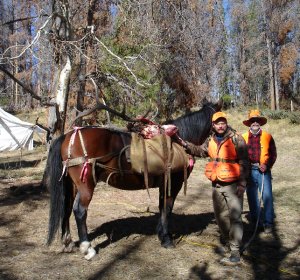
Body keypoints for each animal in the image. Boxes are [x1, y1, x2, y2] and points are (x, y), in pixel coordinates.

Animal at [45, 99, 223, 260]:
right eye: (220, 120)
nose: (227, 133)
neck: (178, 142)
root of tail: (67, 136)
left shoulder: (163, 185)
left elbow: (162, 208)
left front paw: (160, 233)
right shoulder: (173, 184)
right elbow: (167, 208)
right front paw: (166, 239)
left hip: (72, 184)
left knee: (67, 207)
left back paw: (67, 242)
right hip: (86, 184)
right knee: (79, 210)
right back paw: (87, 249)